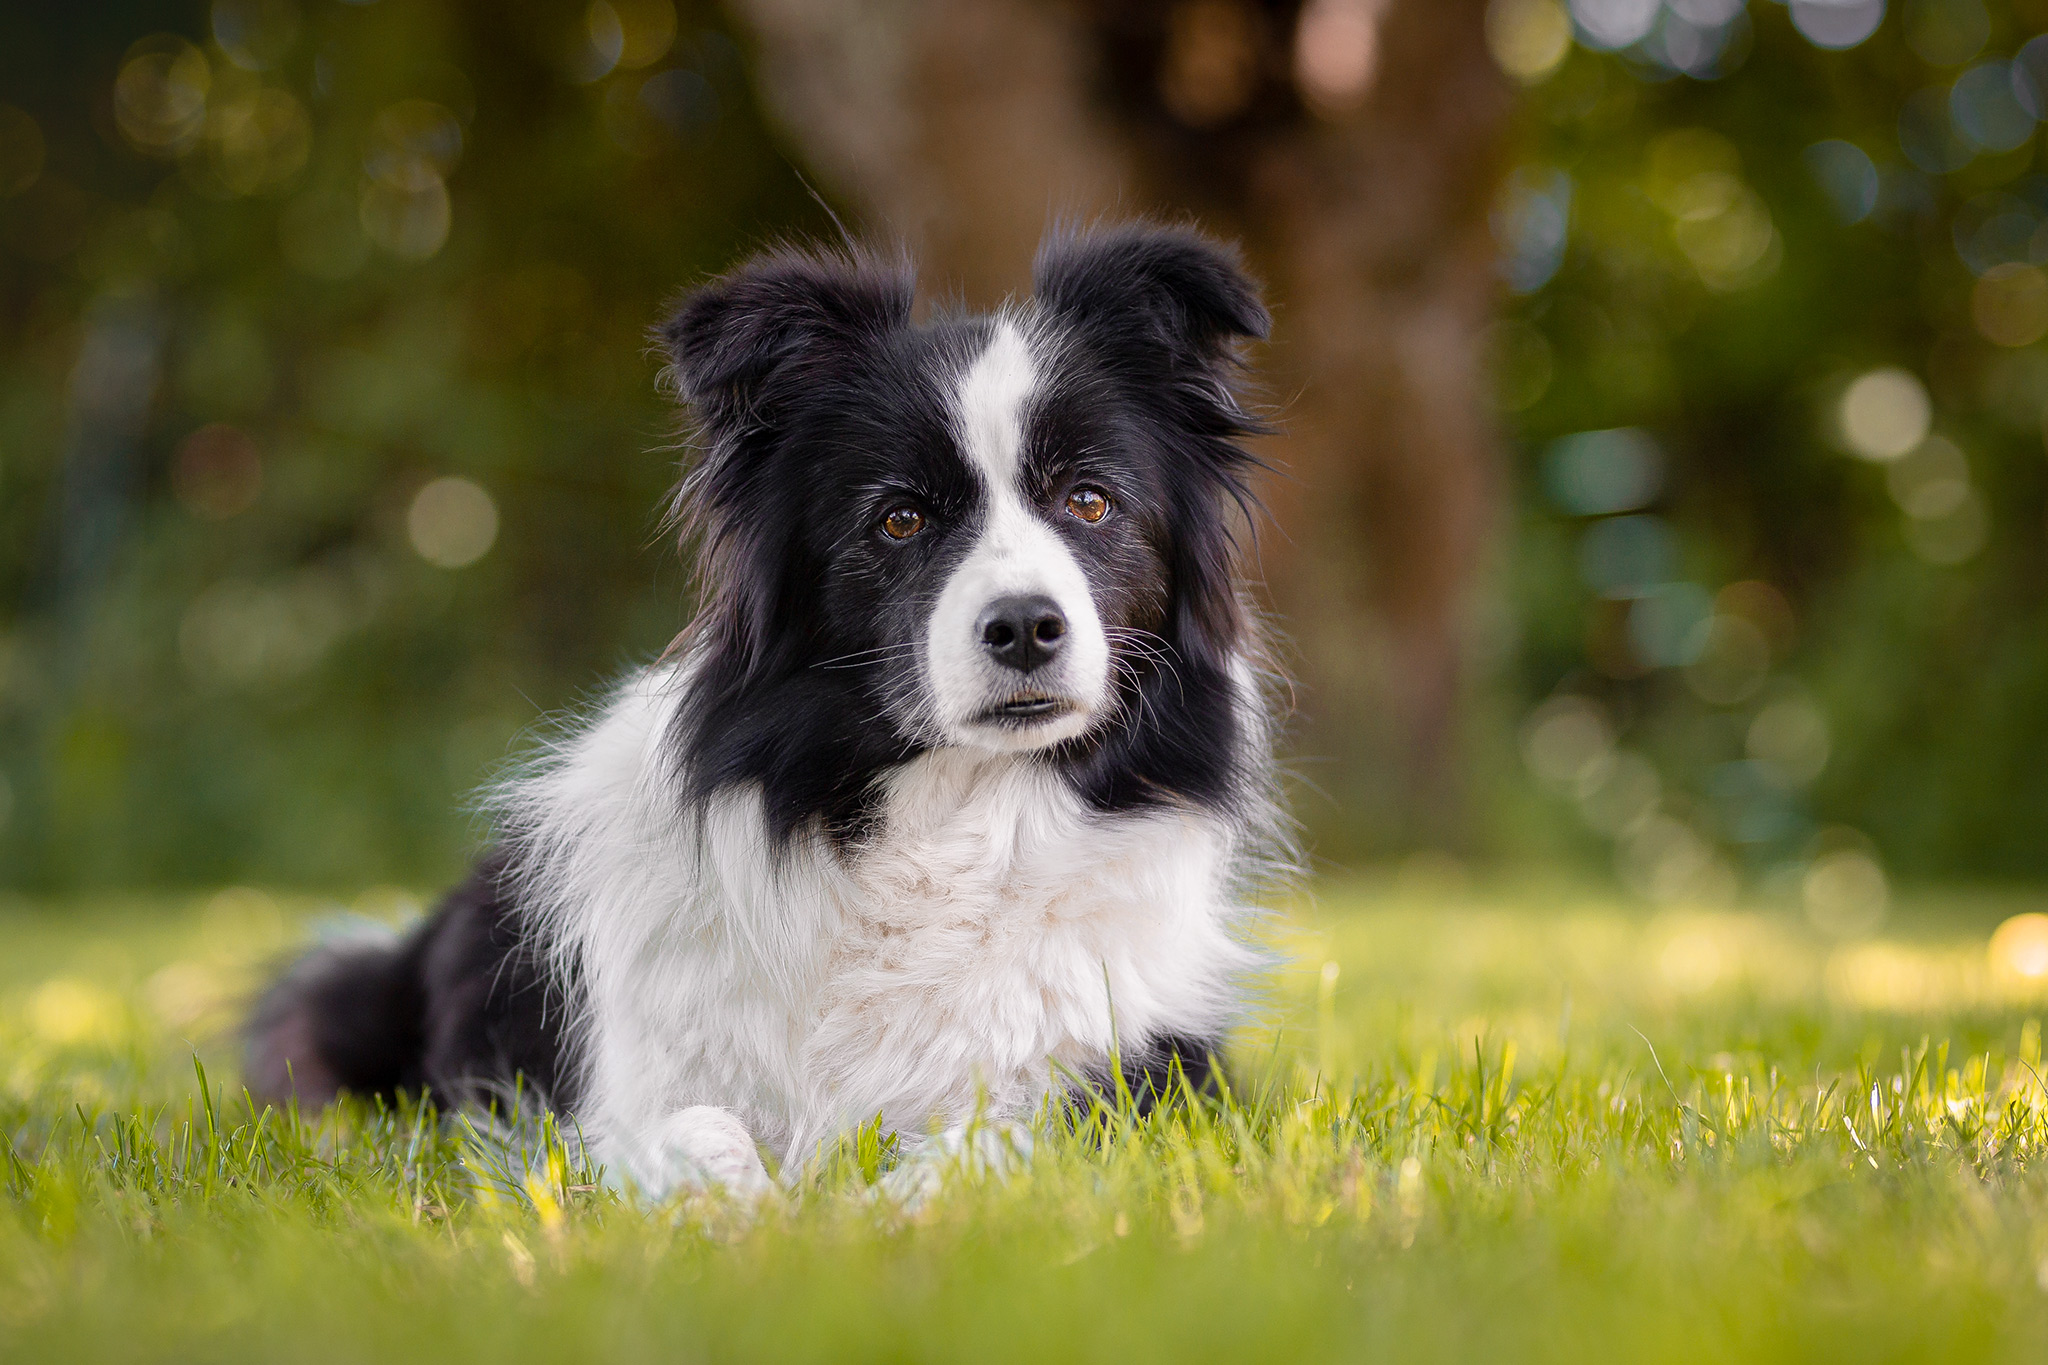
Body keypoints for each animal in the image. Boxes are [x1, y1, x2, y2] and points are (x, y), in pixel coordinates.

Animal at [247, 222, 1286, 1195]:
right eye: (899, 519)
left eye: (1091, 501)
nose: (1027, 626)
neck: (949, 818)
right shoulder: (610, 1096)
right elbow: (692, 1128)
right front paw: (745, 1211)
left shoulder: (1148, 1077)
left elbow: (998, 1134)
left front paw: (893, 1204)